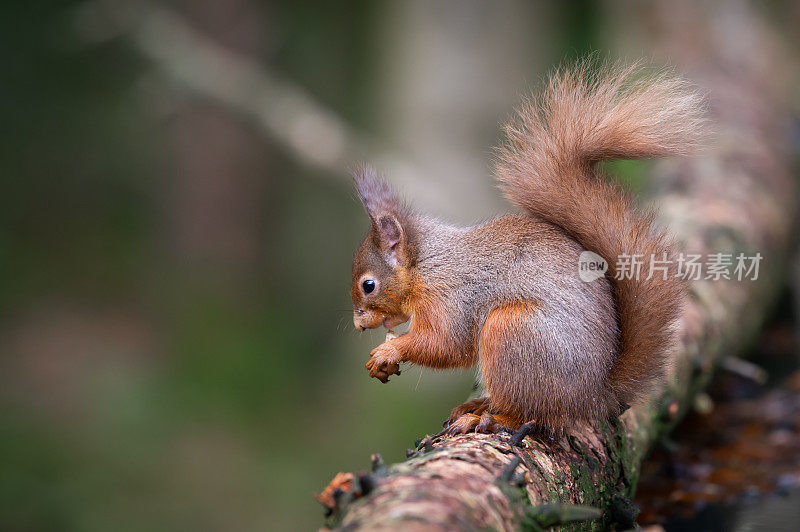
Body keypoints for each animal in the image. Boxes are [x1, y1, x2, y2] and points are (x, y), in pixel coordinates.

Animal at [350, 63, 708, 436]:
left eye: (368, 285)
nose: (358, 324)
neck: (427, 263)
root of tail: (592, 399)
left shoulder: (450, 298)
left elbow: (446, 345)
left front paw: (389, 350)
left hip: (513, 331)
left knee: (531, 413)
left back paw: (489, 418)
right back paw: (478, 405)